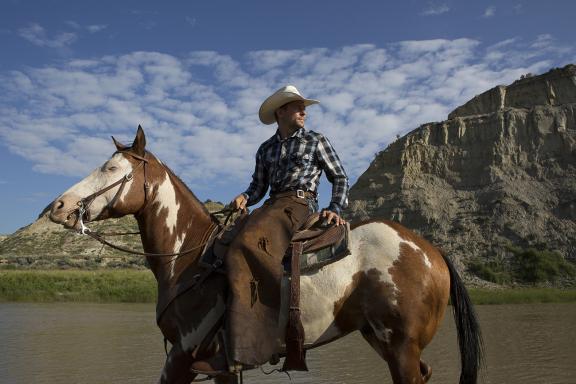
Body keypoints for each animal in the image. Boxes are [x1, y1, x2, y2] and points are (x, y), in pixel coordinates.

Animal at [49, 127, 482, 382]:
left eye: (110, 169)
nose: (59, 206)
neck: (188, 259)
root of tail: (431, 250)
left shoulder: (188, 356)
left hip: (401, 346)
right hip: (384, 341)